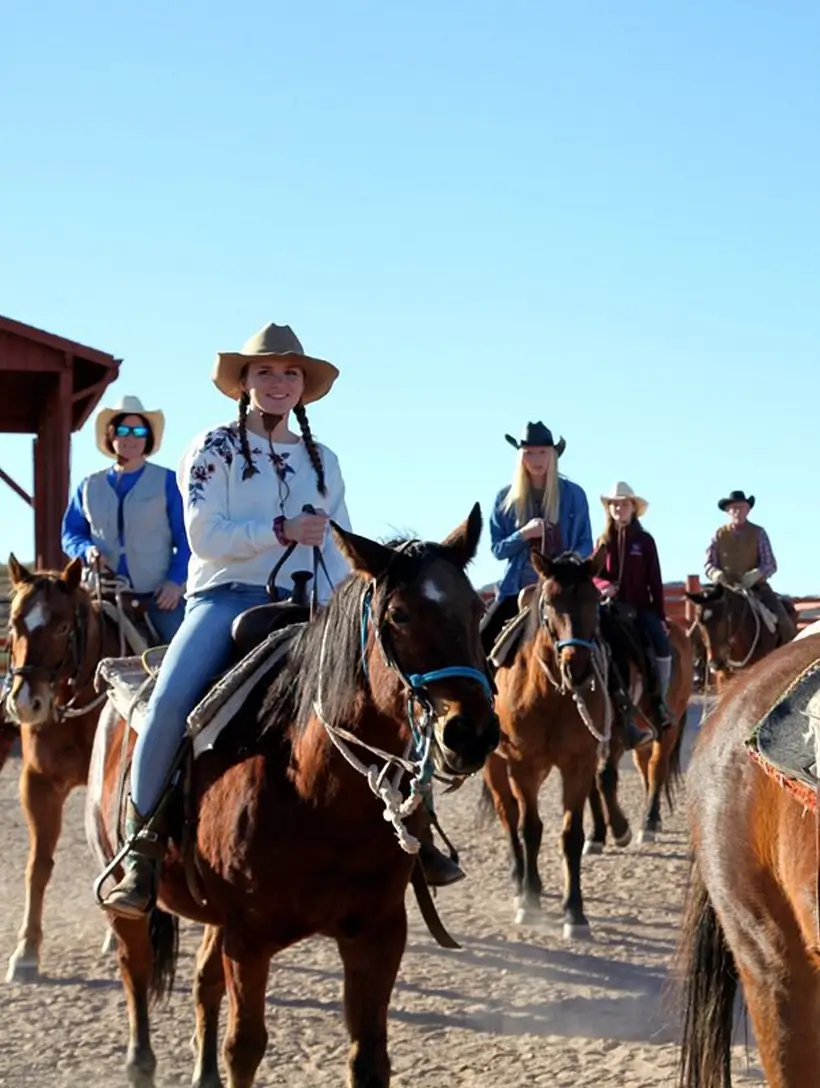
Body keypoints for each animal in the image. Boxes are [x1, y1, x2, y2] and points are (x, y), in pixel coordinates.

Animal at [2, 557, 139, 983]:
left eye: (63, 627)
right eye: (14, 623)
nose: (26, 702)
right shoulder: (39, 784)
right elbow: (38, 866)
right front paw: (26, 951)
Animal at [89, 509, 498, 1088]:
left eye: (476, 607)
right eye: (398, 614)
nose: (471, 733)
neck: (319, 797)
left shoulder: (378, 933)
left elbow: (369, 1059)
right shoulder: (249, 940)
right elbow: (244, 1049)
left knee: (202, 983)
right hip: (128, 908)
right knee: (137, 972)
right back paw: (139, 1060)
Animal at [476, 548, 609, 940]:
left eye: (594, 599)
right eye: (550, 602)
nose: (577, 667)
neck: (551, 696)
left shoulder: (578, 764)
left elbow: (571, 836)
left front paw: (574, 913)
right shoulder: (522, 764)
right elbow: (529, 829)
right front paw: (528, 902)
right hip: (496, 767)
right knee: (509, 818)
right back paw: (521, 884)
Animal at [582, 617, 691, 844]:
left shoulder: (614, 735)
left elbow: (604, 777)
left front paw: (620, 830)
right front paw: (596, 835)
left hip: (668, 728)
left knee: (656, 767)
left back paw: (649, 822)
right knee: (644, 767)